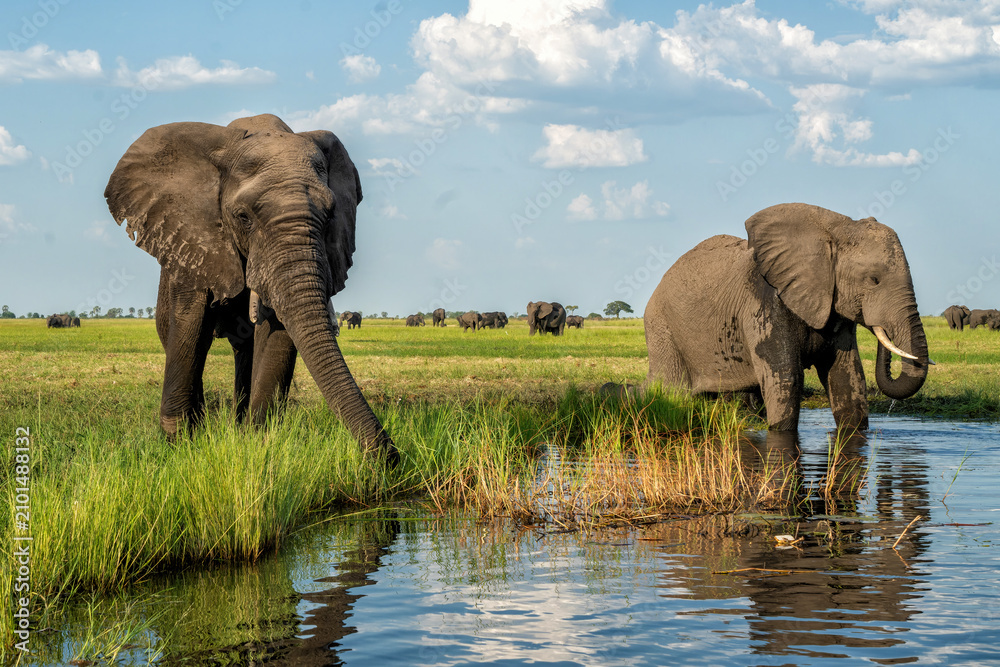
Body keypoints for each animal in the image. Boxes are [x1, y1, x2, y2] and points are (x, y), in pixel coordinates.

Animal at [104, 113, 396, 463]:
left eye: (330, 215)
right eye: (244, 217)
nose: (392, 457)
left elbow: (276, 334)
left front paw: (255, 440)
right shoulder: (192, 237)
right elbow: (191, 324)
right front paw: (180, 444)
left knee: (244, 349)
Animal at [643, 203, 930, 433]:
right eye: (874, 279)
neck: (834, 230)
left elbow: (847, 379)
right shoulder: (764, 303)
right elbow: (786, 380)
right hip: (661, 327)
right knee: (672, 391)